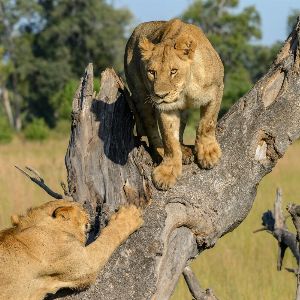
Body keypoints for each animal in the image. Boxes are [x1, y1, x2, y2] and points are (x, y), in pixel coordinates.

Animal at [123, 18, 224, 190]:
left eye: (173, 71)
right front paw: (167, 172)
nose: (160, 95)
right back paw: (163, 152)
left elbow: (207, 123)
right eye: (152, 72)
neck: (185, 89)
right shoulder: (166, 108)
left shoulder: (216, 89)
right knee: (151, 128)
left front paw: (208, 153)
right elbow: (169, 139)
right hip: (140, 95)